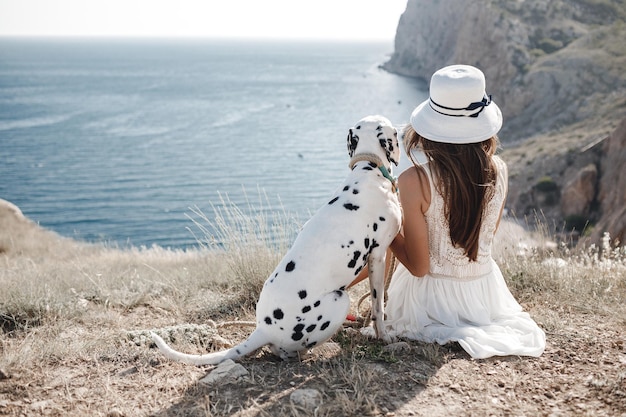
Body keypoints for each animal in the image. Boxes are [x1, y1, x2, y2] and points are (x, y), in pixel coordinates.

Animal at [151, 114, 400, 364]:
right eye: (395, 132)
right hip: (340, 300)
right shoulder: (378, 256)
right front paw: (384, 336)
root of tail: (263, 329)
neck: (369, 170)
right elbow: (378, 305)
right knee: (285, 352)